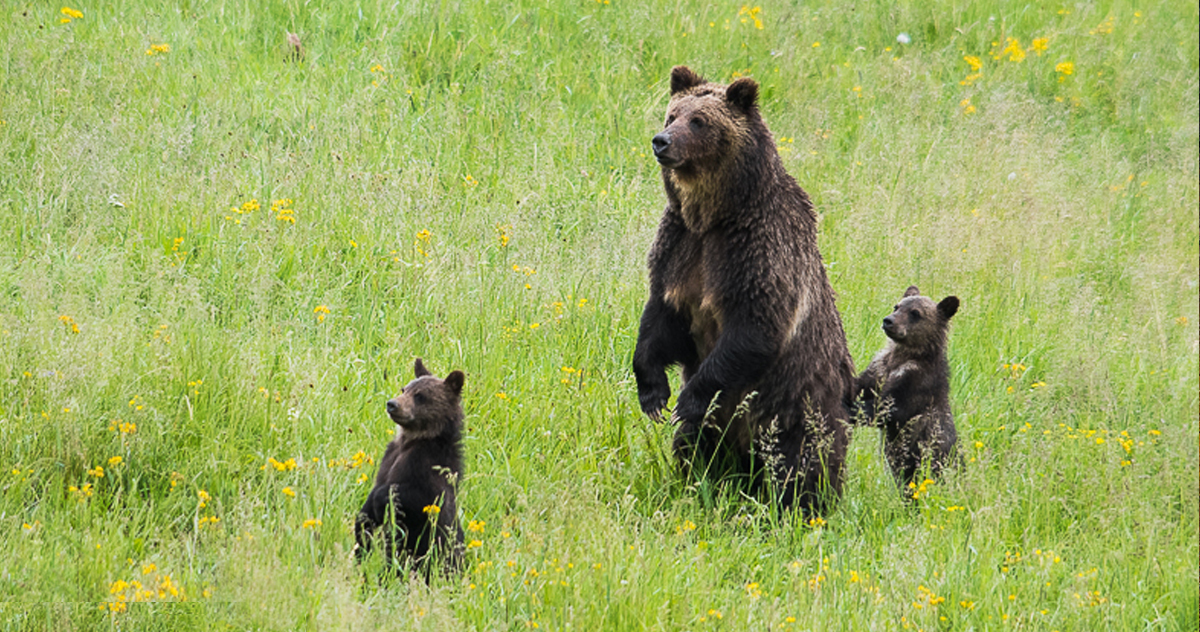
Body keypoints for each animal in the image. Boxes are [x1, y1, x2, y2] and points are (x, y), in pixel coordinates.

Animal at [355, 362, 463, 573]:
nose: (392, 404)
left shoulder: (427, 467)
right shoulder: (390, 457)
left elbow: (416, 496)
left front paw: (380, 505)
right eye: (404, 389)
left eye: (420, 396)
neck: (412, 440)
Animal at [633, 66, 859, 518]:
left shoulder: (757, 251)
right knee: (695, 446)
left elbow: (755, 329)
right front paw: (653, 394)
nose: (661, 141)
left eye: (699, 121)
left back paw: (803, 508)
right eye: (672, 114)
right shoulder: (679, 250)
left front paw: (687, 399)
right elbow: (660, 318)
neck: (714, 215)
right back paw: (704, 484)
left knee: (803, 463)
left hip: (799, 408)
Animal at [854, 285, 964, 494]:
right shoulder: (880, 369)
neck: (904, 356)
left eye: (915, 313)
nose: (888, 320)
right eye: (897, 306)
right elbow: (860, 386)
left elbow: (889, 409)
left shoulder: (916, 383)